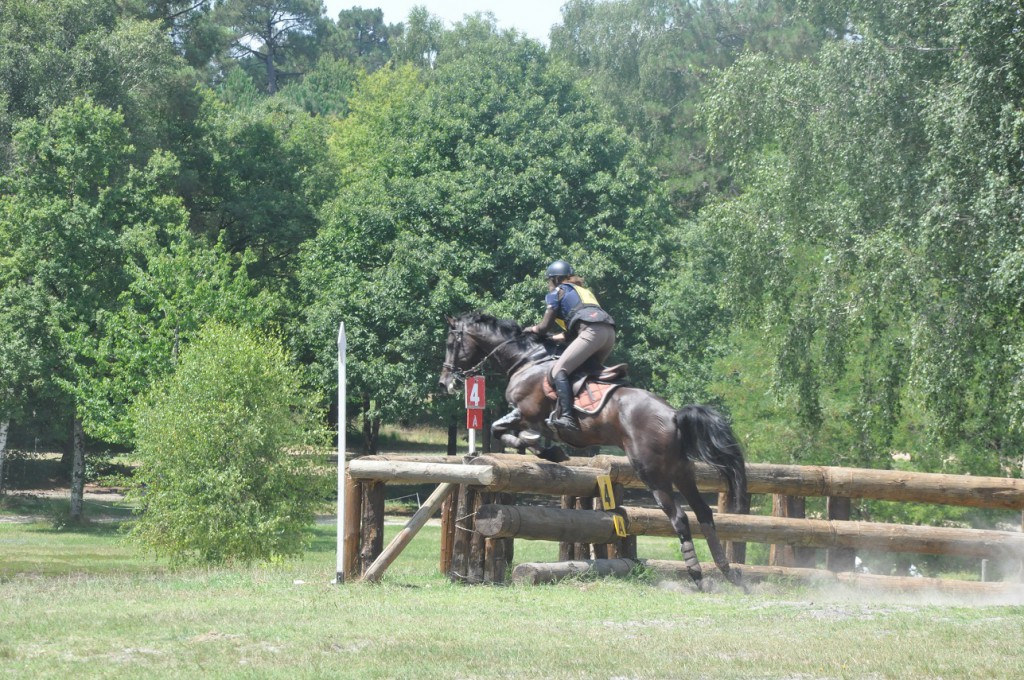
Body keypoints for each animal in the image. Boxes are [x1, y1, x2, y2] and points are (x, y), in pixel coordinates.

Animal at [436, 313, 749, 589]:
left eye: (451, 342)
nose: (444, 382)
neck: (526, 361)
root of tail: (673, 415)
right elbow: (503, 430)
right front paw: (546, 449)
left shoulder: (527, 413)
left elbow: (501, 429)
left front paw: (546, 449)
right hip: (682, 471)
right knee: (704, 513)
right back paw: (728, 573)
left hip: (652, 473)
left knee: (680, 518)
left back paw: (698, 576)